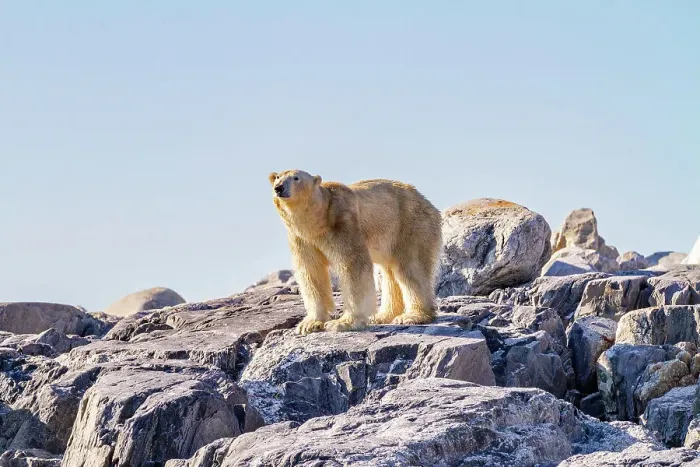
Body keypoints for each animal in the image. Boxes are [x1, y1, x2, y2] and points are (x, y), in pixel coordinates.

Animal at [268, 169, 443, 335]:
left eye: (296, 177)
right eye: (277, 177)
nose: (279, 188)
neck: (318, 220)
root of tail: (428, 203)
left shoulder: (343, 224)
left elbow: (353, 266)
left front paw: (343, 323)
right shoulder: (302, 239)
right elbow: (311, 272)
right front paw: (309, 324)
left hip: (410, 225)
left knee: (411, 268)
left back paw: (412, 316)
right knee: (390, 272)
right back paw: (382, 316)